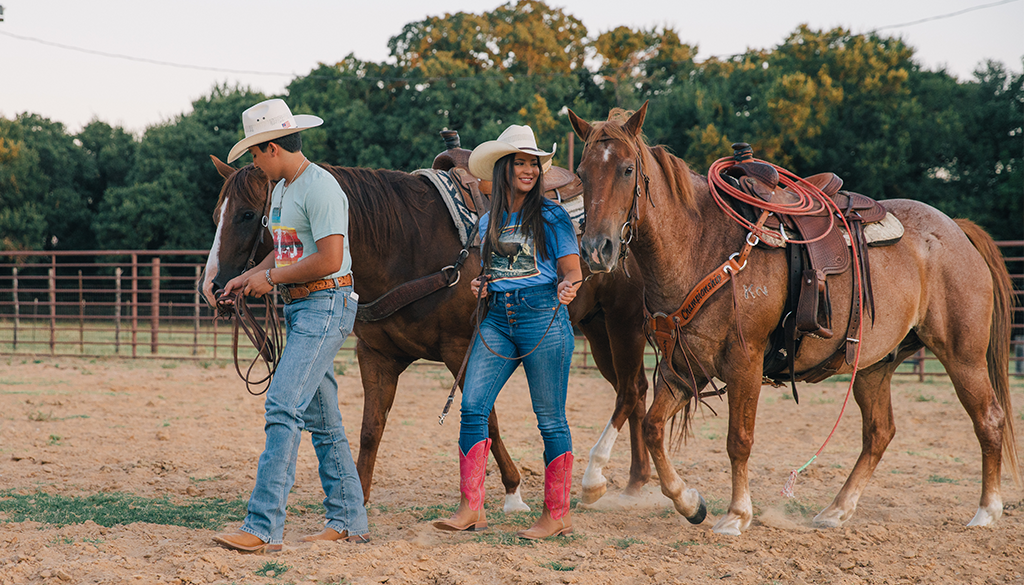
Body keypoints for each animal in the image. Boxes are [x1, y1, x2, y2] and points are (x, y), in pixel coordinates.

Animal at [197, 153, 655, 510]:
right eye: (217, 215)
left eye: (247, 215)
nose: (214, 287)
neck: (405, 243)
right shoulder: (375, 355)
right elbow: (371, 428)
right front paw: (359, 501)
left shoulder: (462, 349)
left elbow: (488, 420)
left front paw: (513, 492)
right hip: (597, 329)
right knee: (634, 391)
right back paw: (636, 483)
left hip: (624, 324)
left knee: (631, 390)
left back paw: (605, 482)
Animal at [569, 103, 1015, 536]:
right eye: (582, 173)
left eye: (627, 169)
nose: (596, 249)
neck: (701, 243)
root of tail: (957, 230)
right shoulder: (684, 365)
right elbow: (653, 426)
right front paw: (689, 502)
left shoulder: (745, 363)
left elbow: (739, 439)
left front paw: (737, 514)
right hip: (873, 364)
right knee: (879, 432)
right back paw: (837, 509)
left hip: (963, 355)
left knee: (988, 419)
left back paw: (987, 511)